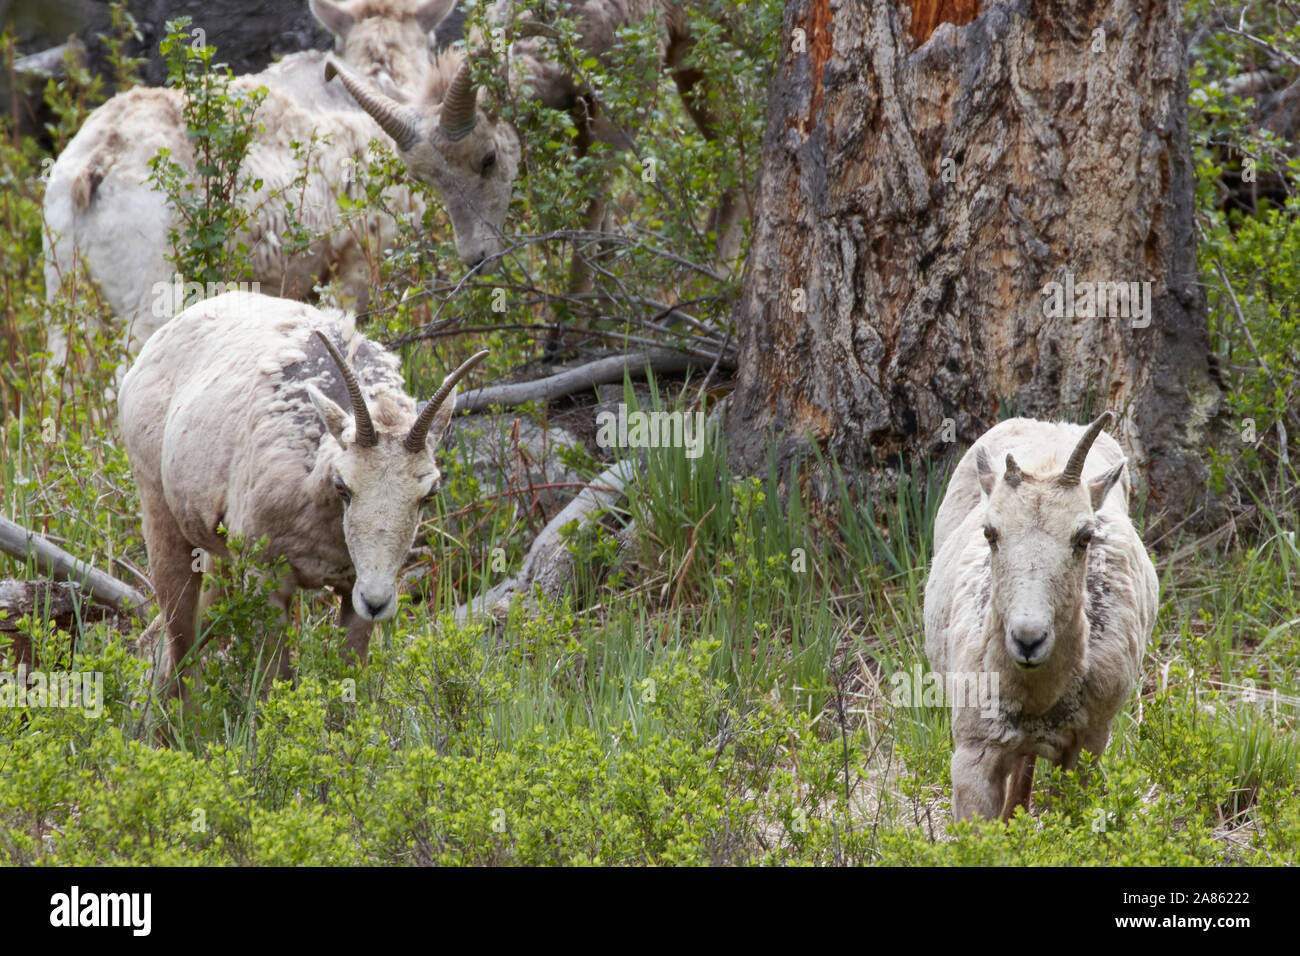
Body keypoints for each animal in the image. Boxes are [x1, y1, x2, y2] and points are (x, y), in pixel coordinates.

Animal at [118, 287, 488, 697]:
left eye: (429, 494)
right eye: (343, 486)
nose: (377, 601)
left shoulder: (351, 590)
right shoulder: (266, 580)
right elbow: (275, 684)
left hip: (220, 558)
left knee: (166, 644)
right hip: (162, 520)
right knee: (181, 647)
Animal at [321, 0, 748, 277]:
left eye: (489, 158)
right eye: (427, 181)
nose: (476, 260)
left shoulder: (623, 100)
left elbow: (593, 206)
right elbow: (603, 222)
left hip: (699, 46)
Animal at [925, 411, 1159, 822]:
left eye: (1084, 536)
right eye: (990, 532)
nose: (1028, 640)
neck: (1039, 694)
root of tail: (1052, 424)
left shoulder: (1087, 747)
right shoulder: (974, 752)